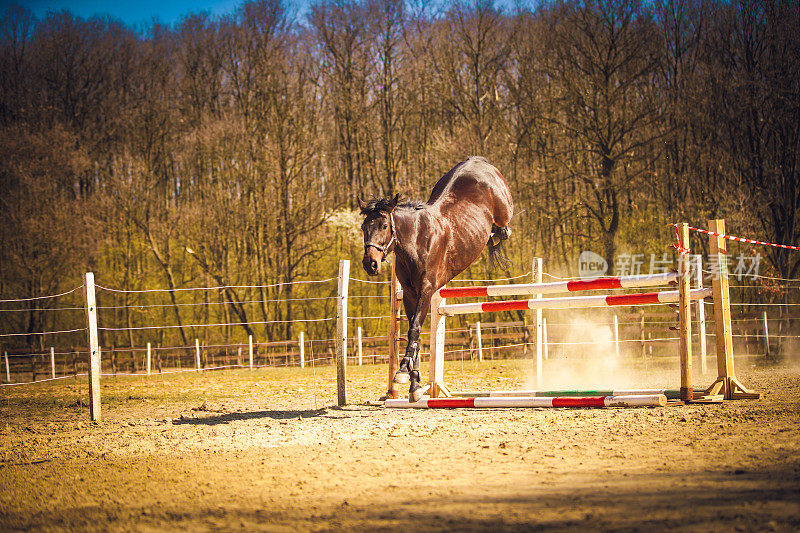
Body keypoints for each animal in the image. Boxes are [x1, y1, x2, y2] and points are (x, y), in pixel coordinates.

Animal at [358, 156, 512, 402]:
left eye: (384, 226)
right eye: (364, 227)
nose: (370, 264)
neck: (416, 240)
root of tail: (478, 160)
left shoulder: (427, 290)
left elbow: (414, 330)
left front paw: (402, 373)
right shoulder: (410, 294)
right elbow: (416, 335)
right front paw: (415, 385)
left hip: (503, 209)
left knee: (504, 228)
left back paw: (496, 234)